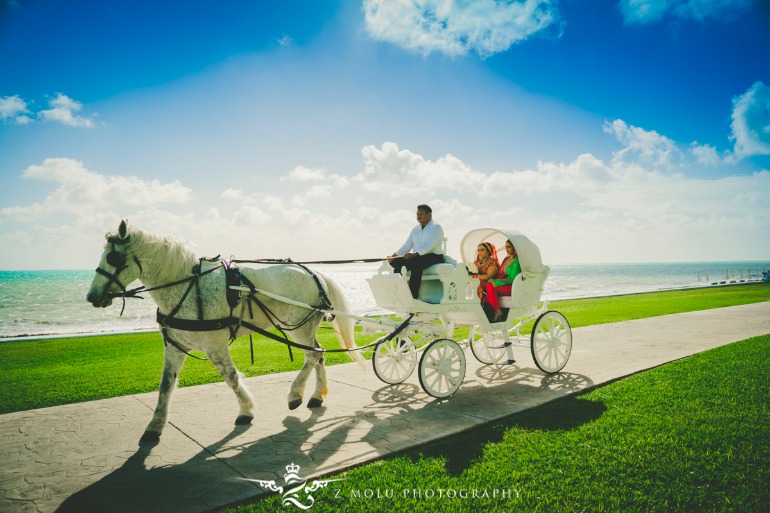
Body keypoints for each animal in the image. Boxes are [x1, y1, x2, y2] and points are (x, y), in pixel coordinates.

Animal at [85, 219, 362, 440]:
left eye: (113, 258)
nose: (91, 297)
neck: (188, 287)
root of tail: (314, 272)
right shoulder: (175, 346)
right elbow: (165, 386)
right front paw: (154, 426)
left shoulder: (214, 345)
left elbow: (231, 377)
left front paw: (246, 410)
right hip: (304, 328)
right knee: (318, 353)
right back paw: (316, 395)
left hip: (299, 326)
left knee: (312, 355)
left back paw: (295, 395)